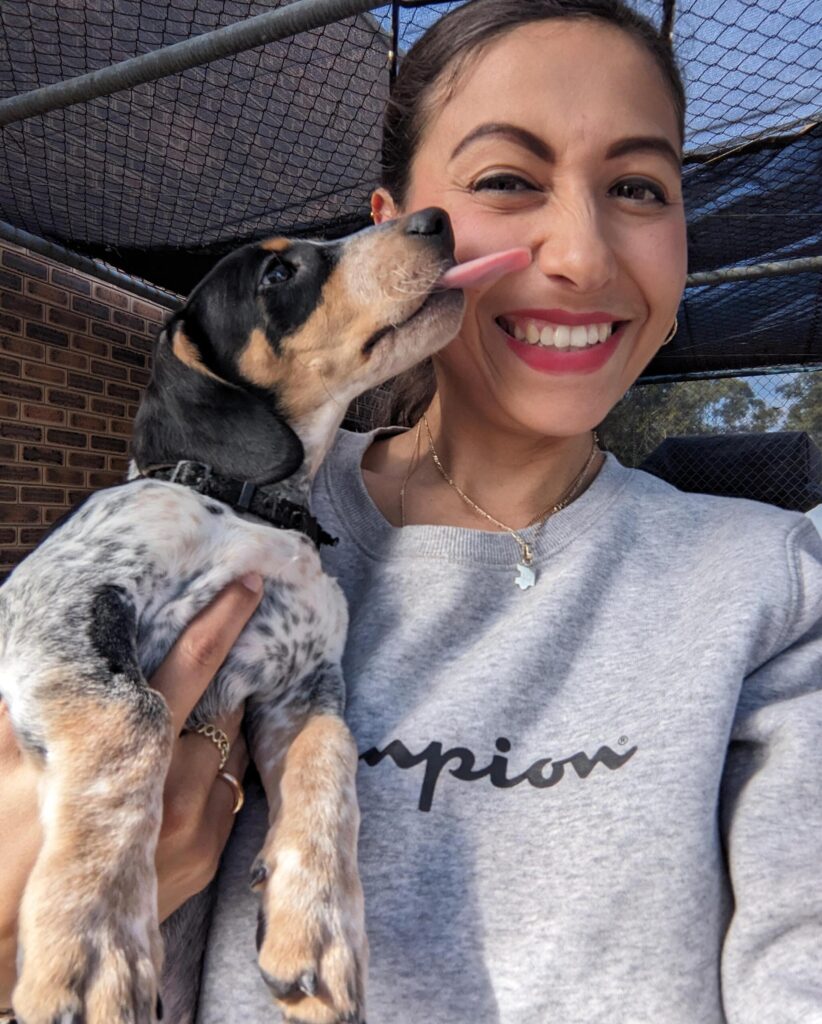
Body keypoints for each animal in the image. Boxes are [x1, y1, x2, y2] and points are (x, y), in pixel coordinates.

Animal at [0, 207, 495, 1024]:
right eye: (277, 273)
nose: (437, 219)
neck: (252, 507)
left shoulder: (302, 688)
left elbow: (329, 765)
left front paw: (317, 924)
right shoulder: (57, 597)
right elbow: (135, 718)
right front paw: (95, 939)